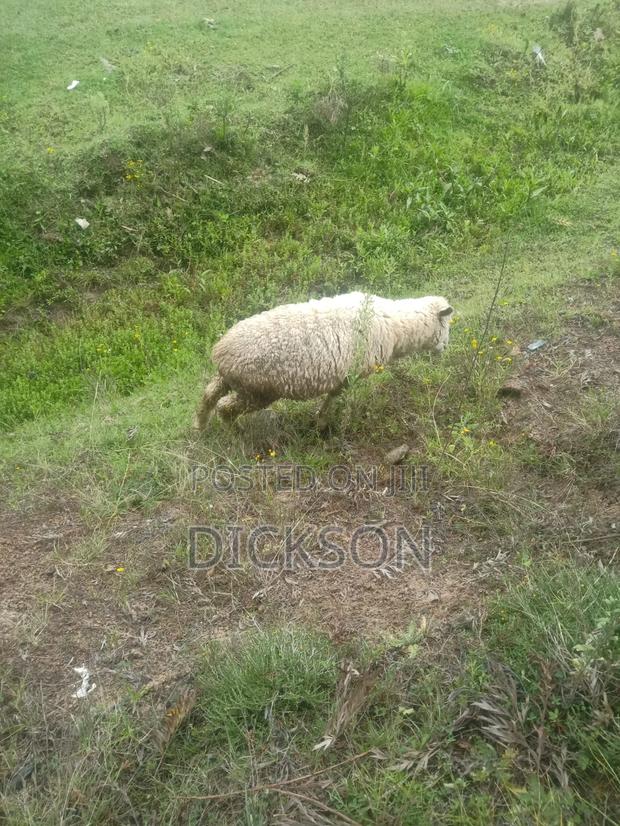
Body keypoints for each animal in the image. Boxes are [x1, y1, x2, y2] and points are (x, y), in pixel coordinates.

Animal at [193, 291, 454, 430]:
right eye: (446, 325)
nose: (445, 348)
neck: (395, 327)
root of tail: (222, 353)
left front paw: (320, 420)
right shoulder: (351, 376)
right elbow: (335, 397)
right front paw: (324, 422)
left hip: (230, 381)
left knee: (208, 395)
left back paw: (200, 426)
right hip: (257, 392)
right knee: (224, 406)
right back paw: (234, 430)